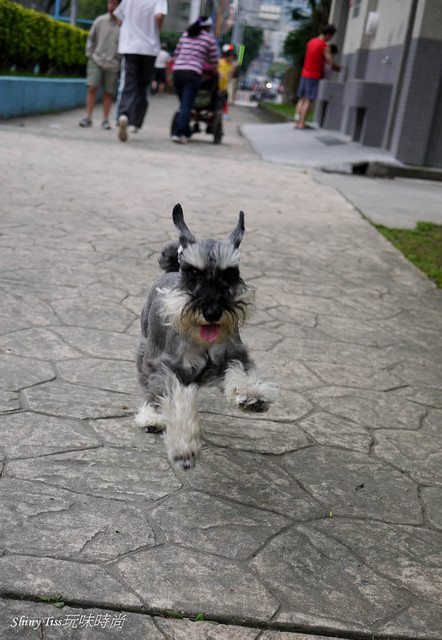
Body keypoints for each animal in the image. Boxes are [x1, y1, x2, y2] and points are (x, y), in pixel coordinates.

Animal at [136, 205, 280, 470]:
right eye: (193, 272)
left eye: (231, 273)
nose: (212, 312)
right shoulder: (167, 368)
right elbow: (176, 402)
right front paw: (184, 447)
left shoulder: (233, 354)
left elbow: (241, 372)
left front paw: (251, 395)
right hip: (145, 352)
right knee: (148, 389)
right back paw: (150, 416)